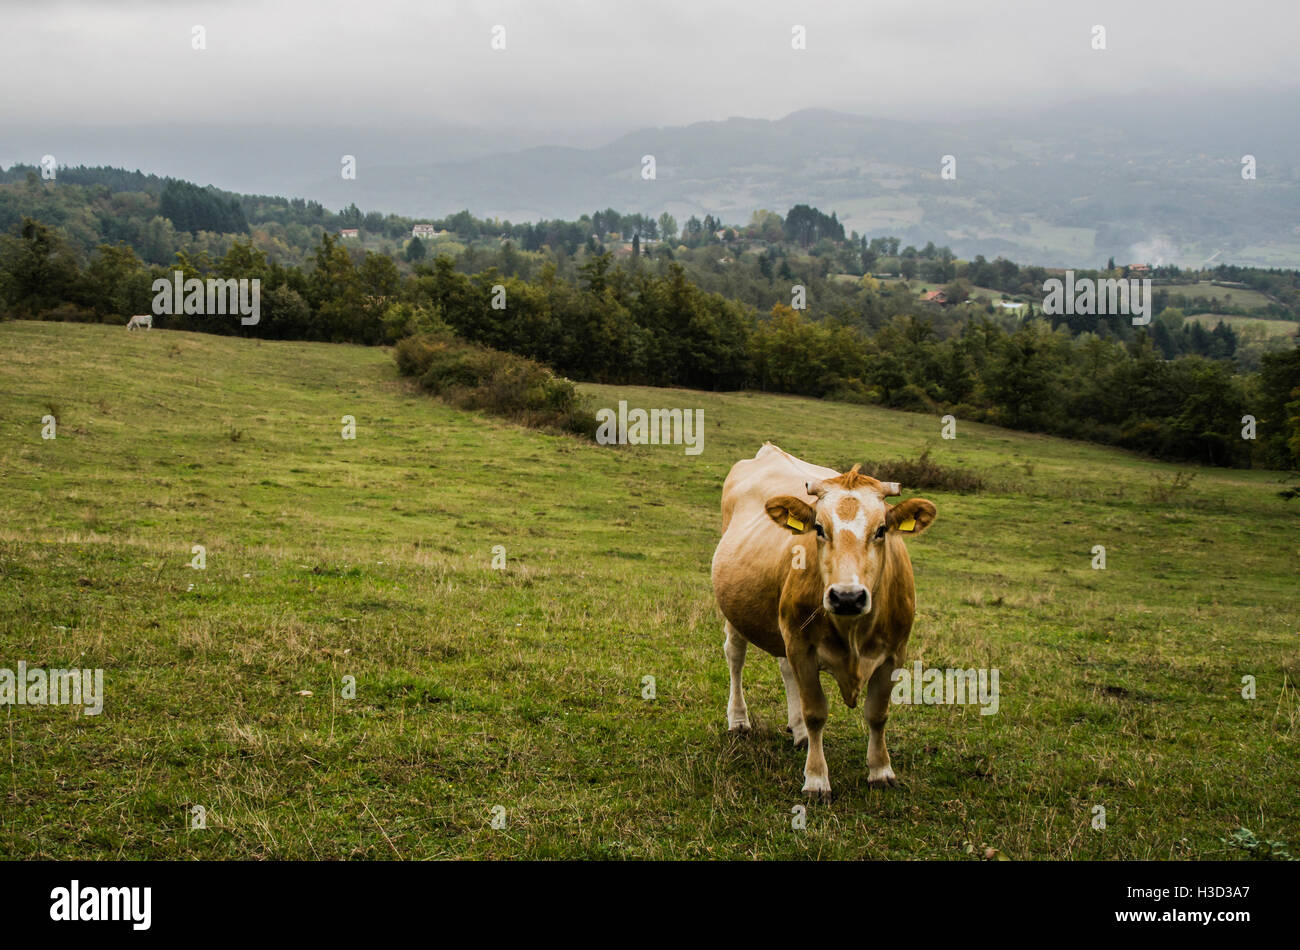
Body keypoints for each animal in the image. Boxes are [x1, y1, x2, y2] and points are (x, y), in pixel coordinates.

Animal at [710, 442, 937, 801]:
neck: (853, 631)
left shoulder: (895, 652)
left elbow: (878, 713)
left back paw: (798, 732)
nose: (847, 597)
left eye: (881, 530)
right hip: (735, 609)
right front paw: (816, 778)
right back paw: (739, 720)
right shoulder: (802, 647)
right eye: (819, 528)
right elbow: (816, 712)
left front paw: (881, 770)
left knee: (784, 667)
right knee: (735, 655)